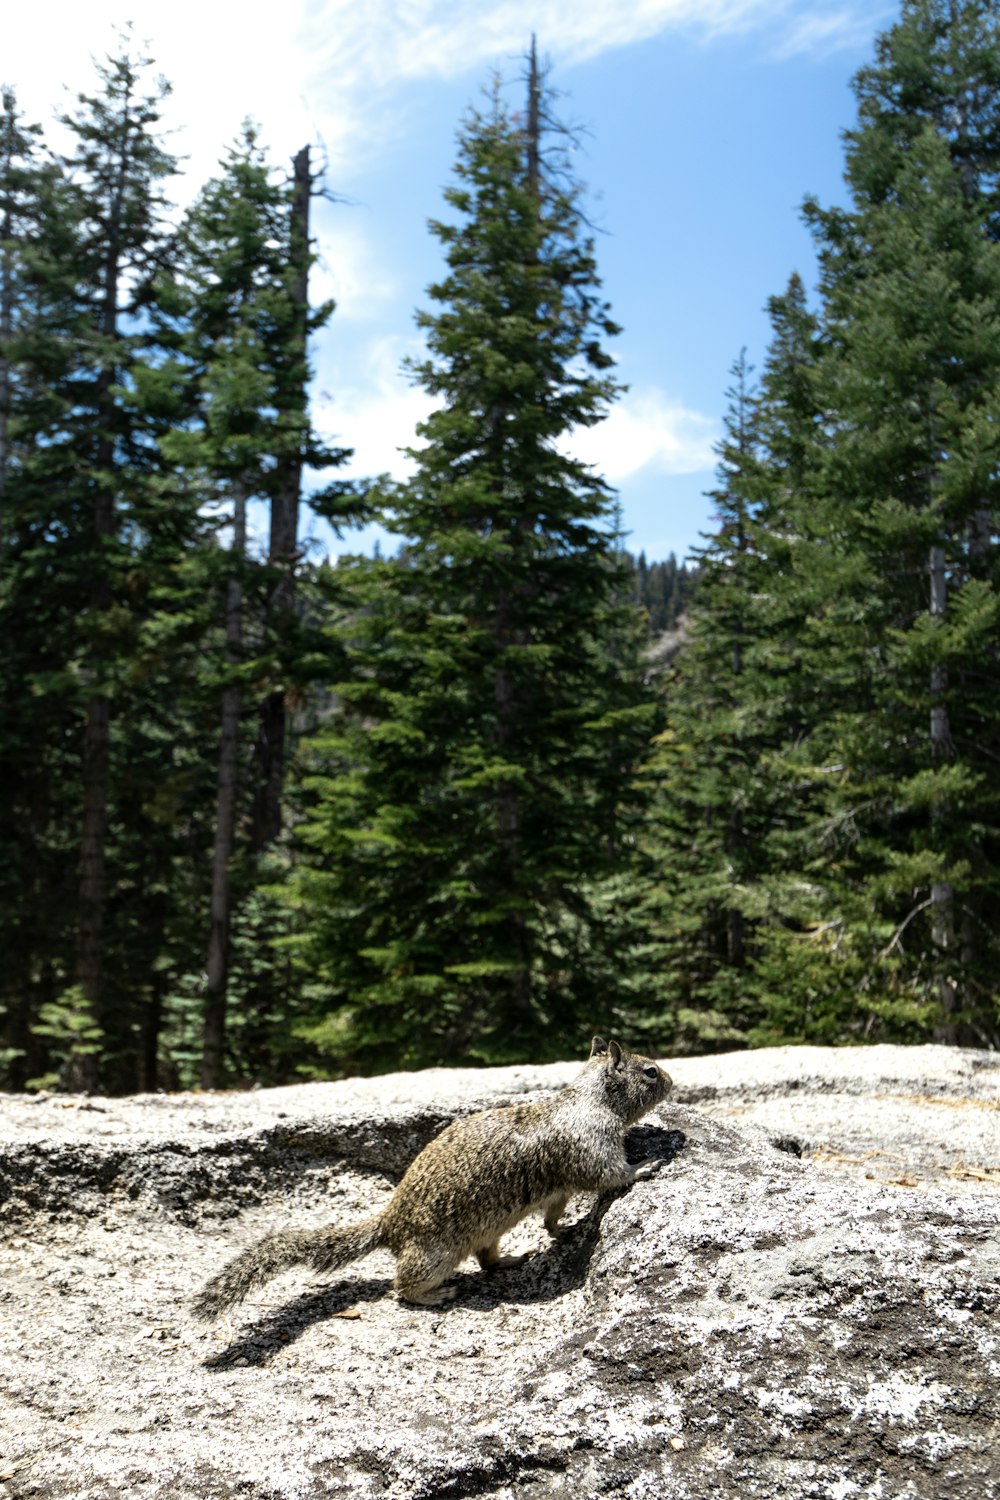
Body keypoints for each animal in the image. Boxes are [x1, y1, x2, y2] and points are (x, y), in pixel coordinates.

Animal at [191, 1038, 671, 1320]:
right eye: (650, 1071)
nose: (670, 1079)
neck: (588, 1098)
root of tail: (389, 1224)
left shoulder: (560, 1188)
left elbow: (552, 1216)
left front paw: (562, 1229)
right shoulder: (590, 1147)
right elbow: (608, 1174)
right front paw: (645, 1167)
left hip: (489, 1229)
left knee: (487, 1260)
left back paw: (512, 1259)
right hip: (435, 1254)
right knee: (400, 1287)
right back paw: (435, 1296)